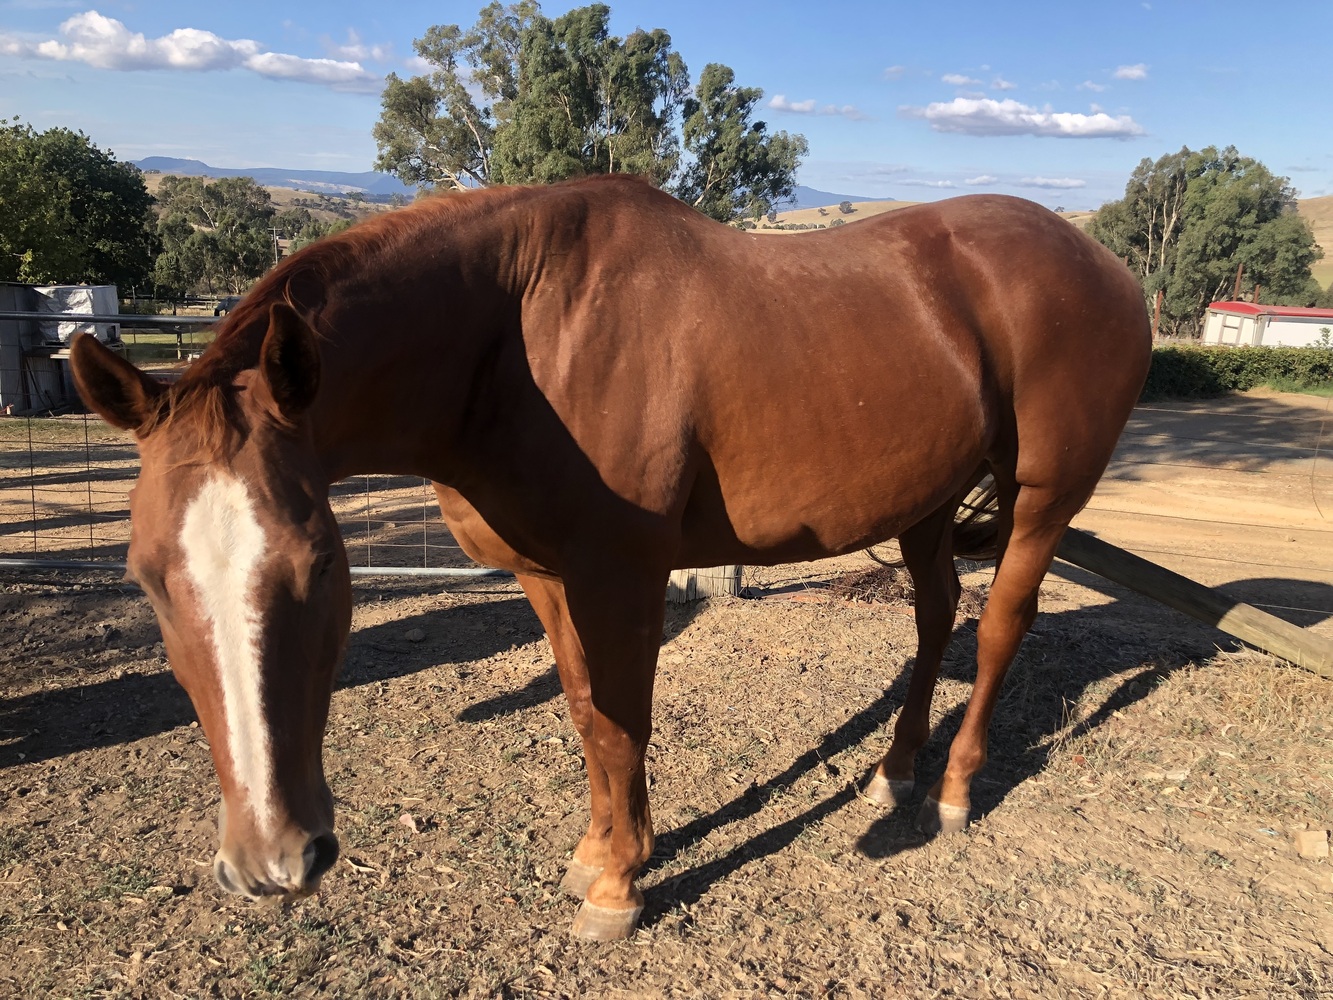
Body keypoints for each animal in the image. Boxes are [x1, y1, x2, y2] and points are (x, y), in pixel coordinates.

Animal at [70, 175, 1151, 941]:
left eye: (324, 566)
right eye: (144, 579)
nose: (273, 860)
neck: (517, 335)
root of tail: (1108, 265)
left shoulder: (620, 577)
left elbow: (624, 724)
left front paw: (620, 885)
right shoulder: (548, 577)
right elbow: (590, 716)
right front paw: (597, 856)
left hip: (1041, 502)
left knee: (1001, 623)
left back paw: (958, 788)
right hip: (923, 499)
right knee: (934, 616)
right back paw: (894, 772)